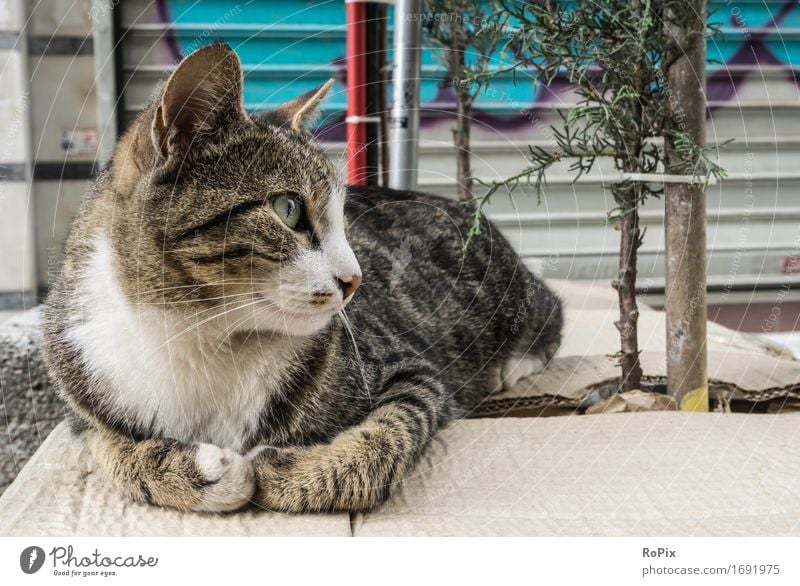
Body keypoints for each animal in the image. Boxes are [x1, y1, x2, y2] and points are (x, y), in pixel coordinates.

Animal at [39, 43, 564, 512]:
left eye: (344, 220)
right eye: (288, 209)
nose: (355, 280)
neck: (198, 334)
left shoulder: (413, 371)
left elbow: (390, 431)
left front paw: (294, 472)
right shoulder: (82, 409)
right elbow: (110, 450)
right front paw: (199, 472)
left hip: (517, 300)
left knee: (551, 313)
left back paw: (512, 365)